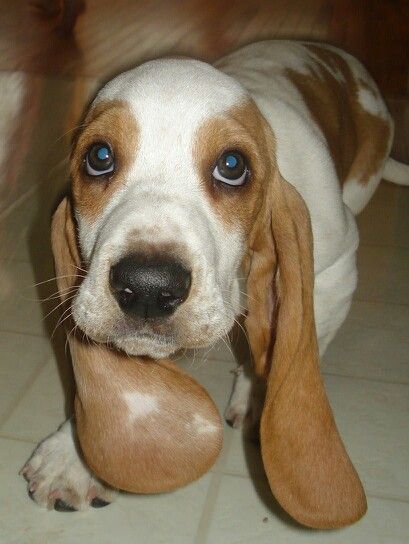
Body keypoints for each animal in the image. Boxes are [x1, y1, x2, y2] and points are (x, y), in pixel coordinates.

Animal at [21, 41, 408, 528]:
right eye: (100, 157)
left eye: (232, 165)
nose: (148, 286)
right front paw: (75, 457)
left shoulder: (336, 272)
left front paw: (259, 396)